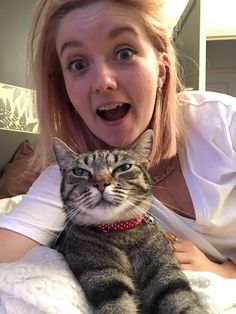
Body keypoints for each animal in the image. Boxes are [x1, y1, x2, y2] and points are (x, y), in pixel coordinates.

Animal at [53, 131, 206, 314]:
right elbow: (119, 306)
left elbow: (183, 302)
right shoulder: (104, 278)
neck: (121, 231)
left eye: (123, 167)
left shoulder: (167, 274)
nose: (100, 183)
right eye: (80, 171)